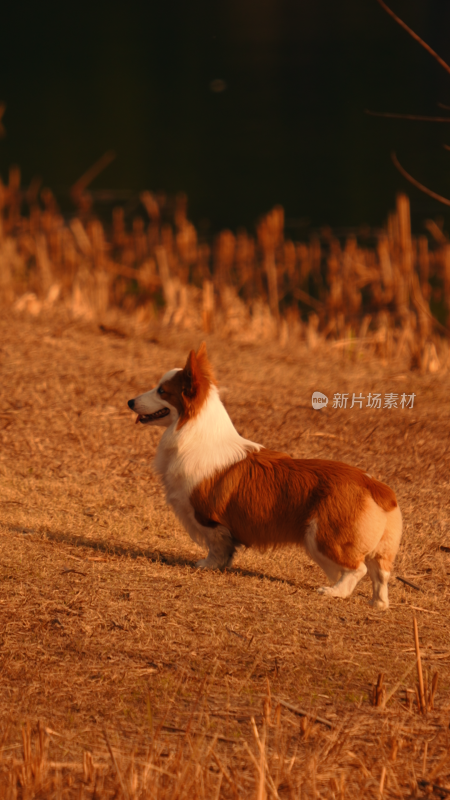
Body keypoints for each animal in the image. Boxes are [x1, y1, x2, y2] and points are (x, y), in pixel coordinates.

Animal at [128, 340, 402, 608]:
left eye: (162, 391)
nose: (130, 402)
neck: (191, 430)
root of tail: (375, 486)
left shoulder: (208, 518)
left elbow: (217, 547)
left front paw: (208, 565)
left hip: (324, 537)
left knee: (358, 569)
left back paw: (334, 592)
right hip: (378, 548)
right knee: (380, 573)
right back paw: (377, 603)